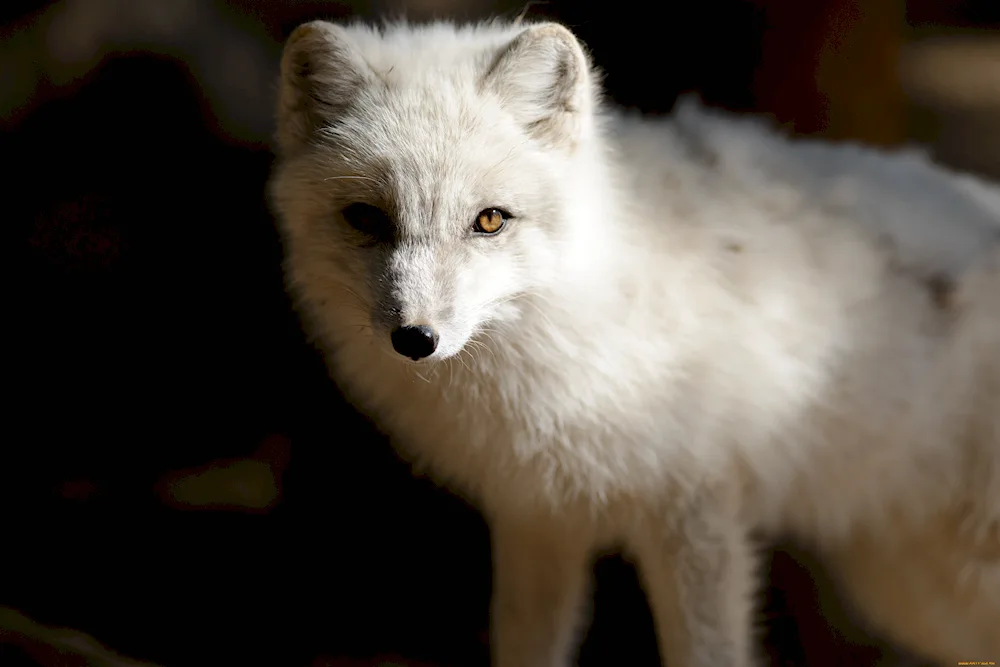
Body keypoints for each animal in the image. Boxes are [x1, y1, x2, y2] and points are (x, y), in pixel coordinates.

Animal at [268, 17, 1000, 667]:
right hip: (913, 590)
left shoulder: (695, 516)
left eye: (489, 221)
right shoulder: (537, 517)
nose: (415, 338)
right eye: (367, 219)